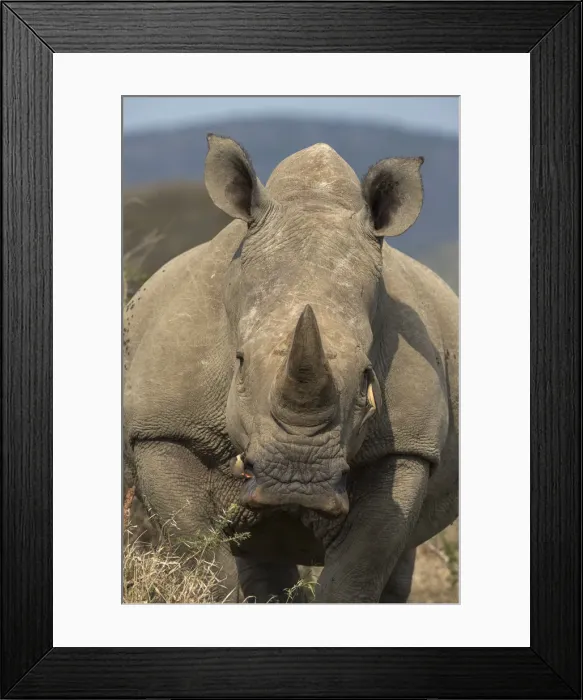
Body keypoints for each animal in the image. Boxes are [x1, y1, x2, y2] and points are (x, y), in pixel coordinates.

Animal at [123, 135, 459, 603]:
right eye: (239, 363)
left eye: (367, 378)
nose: (298, 481)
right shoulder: (162, 429)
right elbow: (204, 560)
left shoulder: (409, 445)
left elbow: (357, 573)